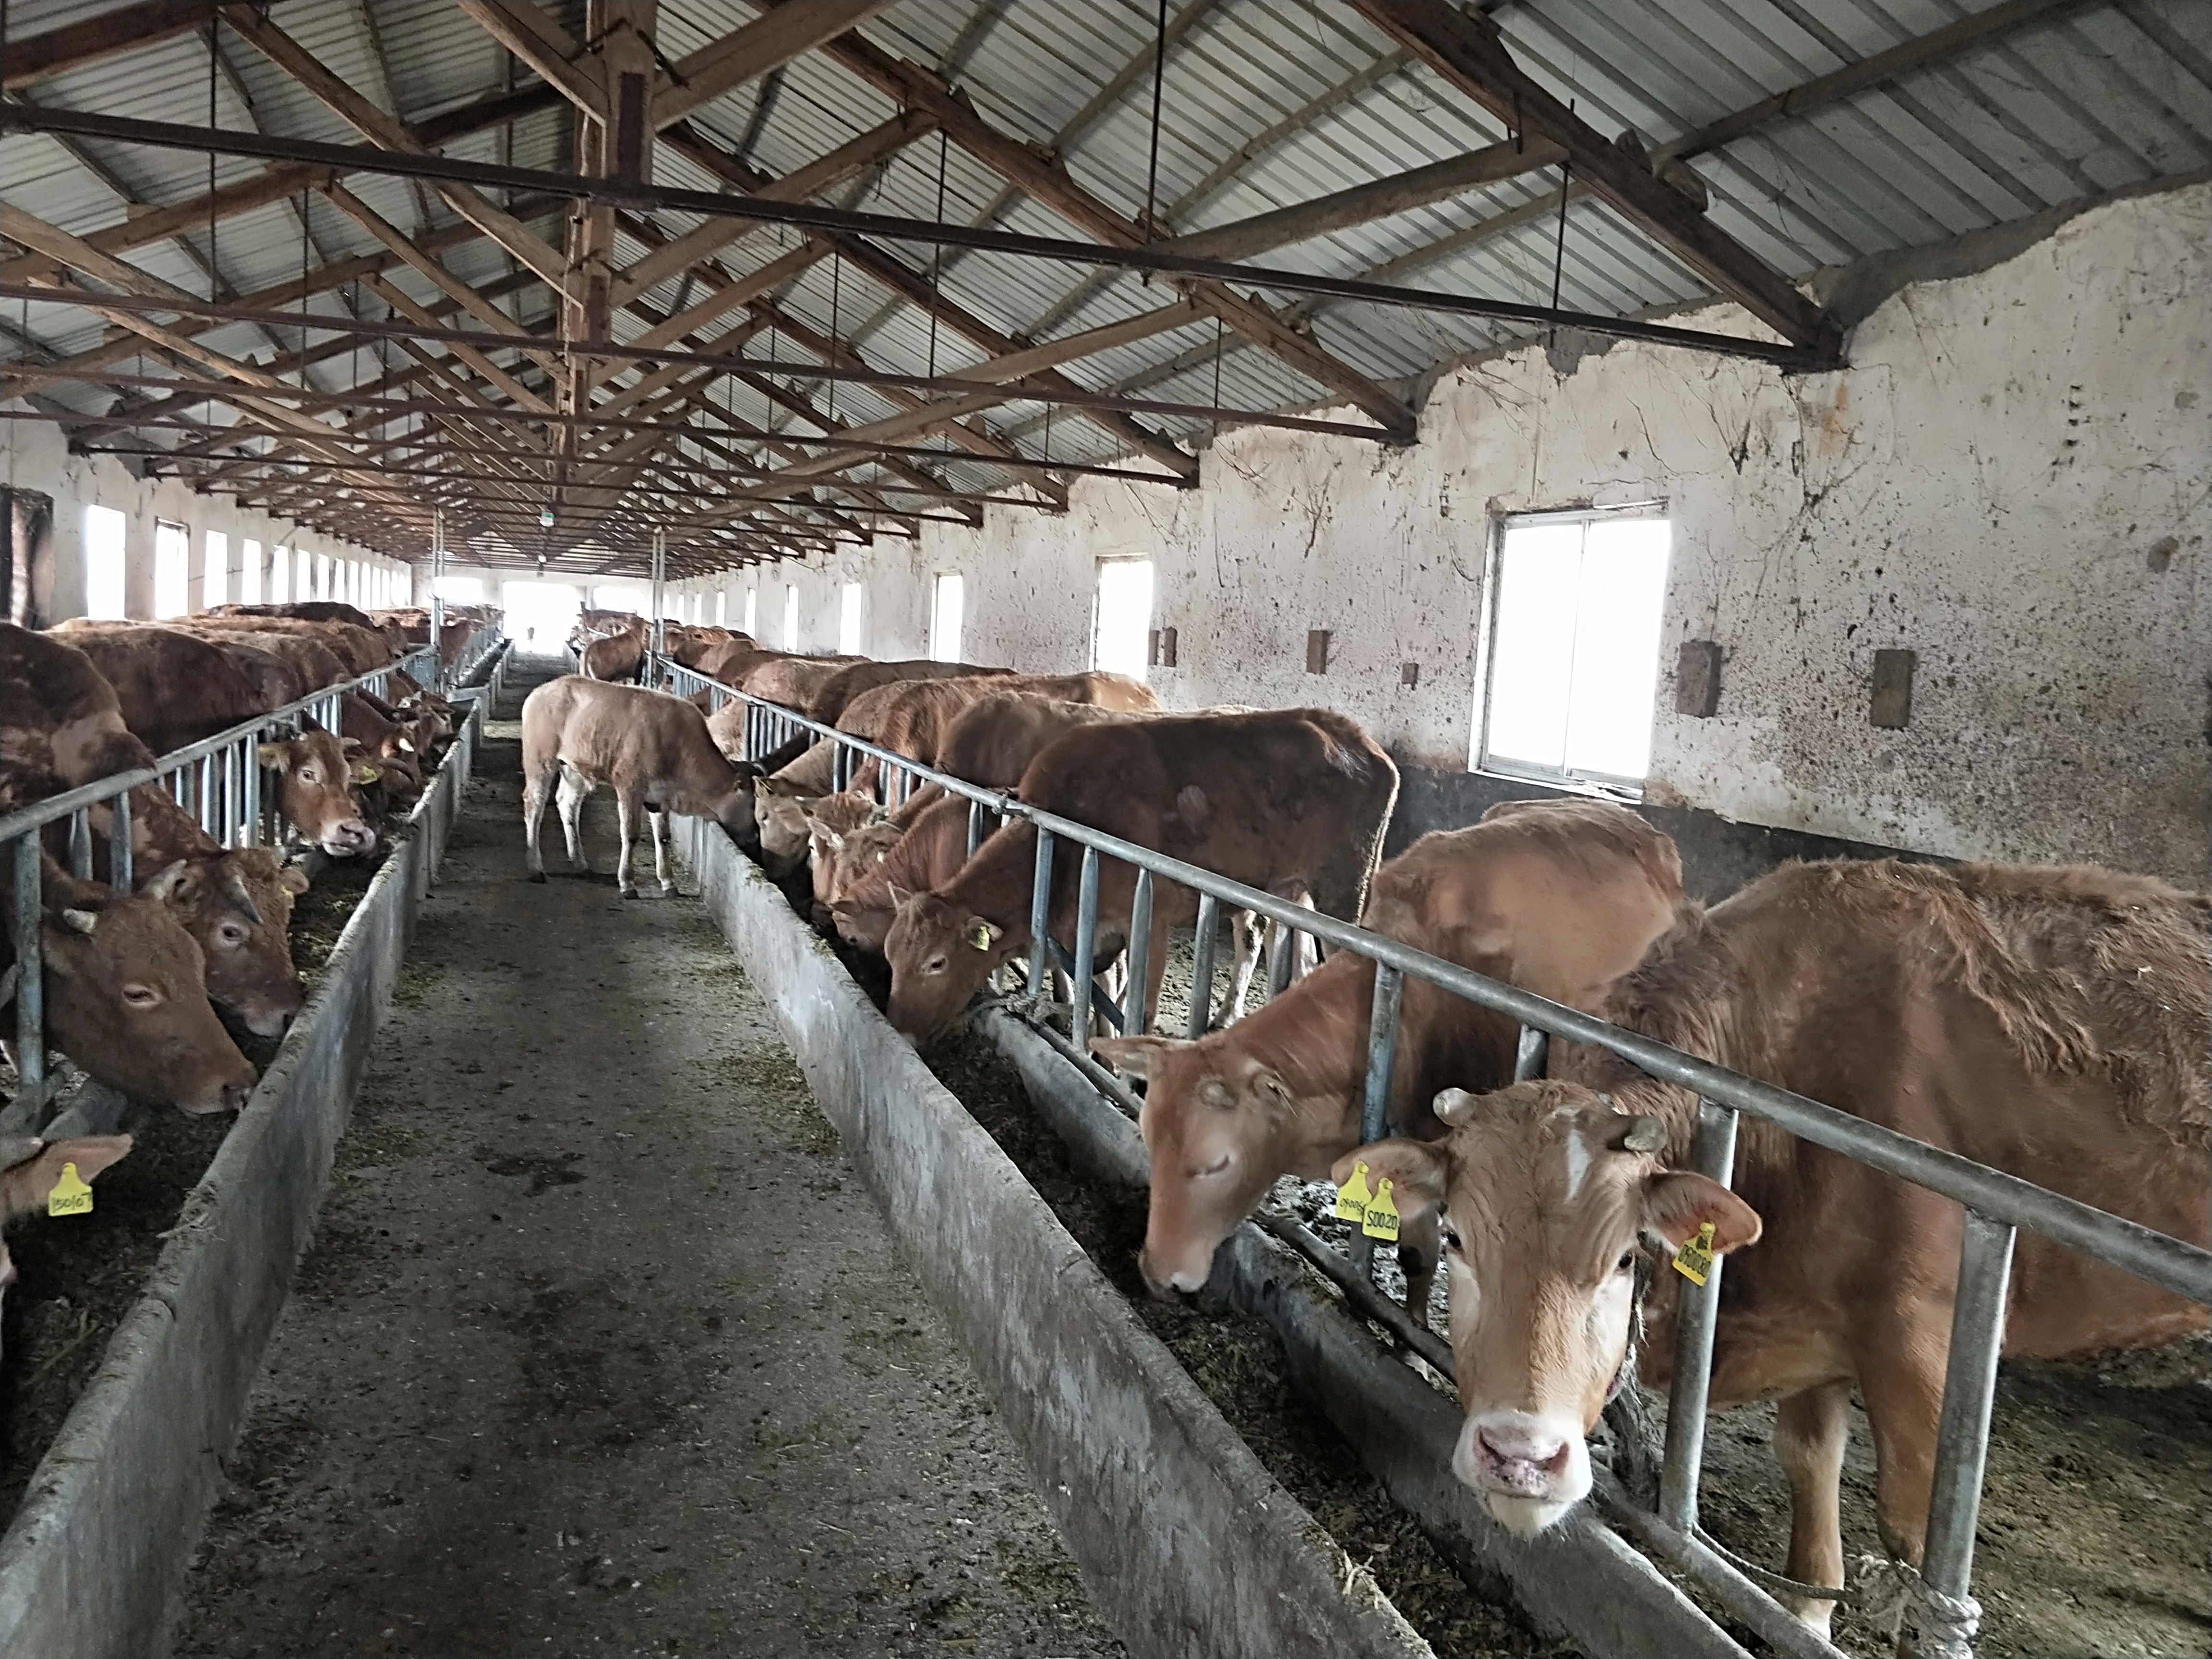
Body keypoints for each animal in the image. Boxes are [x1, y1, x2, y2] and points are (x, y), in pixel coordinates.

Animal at [522, 681, 765, 902]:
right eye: (753, 806)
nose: (755, 837)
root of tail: (542, 690)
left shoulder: (661, 797)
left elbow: (663, 837)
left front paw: (668, 883)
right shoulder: (630, 786)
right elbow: (631, 834)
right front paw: (627, 883)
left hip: (574, 769)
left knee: (567, 804)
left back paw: (580, 862)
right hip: (540, 760)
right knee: (534, 805)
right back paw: (535, 868)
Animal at [885, 708, 1389, 1044]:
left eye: (936, 963)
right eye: (891, 956)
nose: (900, 1030)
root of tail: (1354, 734)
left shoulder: (1151, 919)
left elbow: (1137, 1013)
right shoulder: (1092, 931)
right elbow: (1099, 994)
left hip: (1345, 890)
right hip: (1285, 891)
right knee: (1271, 945)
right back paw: (1231, 1016)